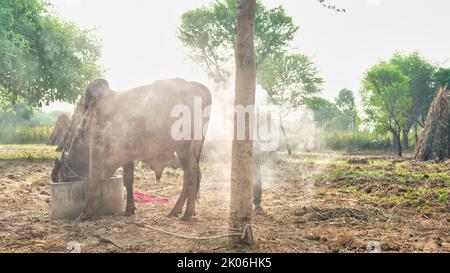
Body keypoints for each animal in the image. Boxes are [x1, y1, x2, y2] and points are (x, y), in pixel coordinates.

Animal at [50, 77, 212, 220]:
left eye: (56, 177)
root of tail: (195, 86)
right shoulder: (126, 154)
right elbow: (128, 180)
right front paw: (130, 208)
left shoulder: (96, 150)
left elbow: (93, 181)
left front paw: (85, 212)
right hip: (193, 147)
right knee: (190, 174)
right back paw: (177, 210)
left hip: (182, 146)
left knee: (192, 171)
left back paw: (187, 212)